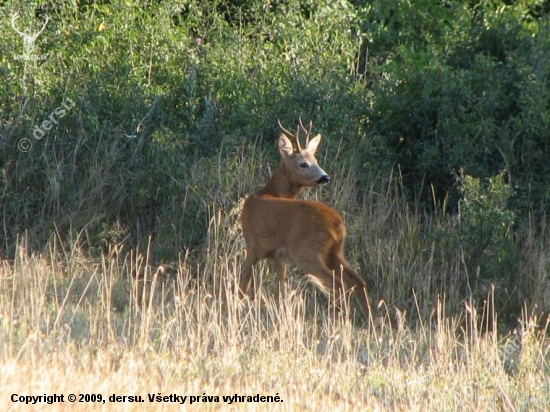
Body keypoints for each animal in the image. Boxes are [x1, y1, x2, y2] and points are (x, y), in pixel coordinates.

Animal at [240, 119, 370, 316]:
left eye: (315, 160)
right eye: (303, 163)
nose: (325, 177)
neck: (267, 192)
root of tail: (338, 225)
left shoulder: (253, 246)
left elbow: (243, 286)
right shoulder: (279, 256)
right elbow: (279, 289)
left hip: (307, 252)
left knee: (338, 284)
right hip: (334, 252)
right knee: (358, 282)